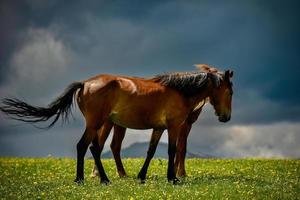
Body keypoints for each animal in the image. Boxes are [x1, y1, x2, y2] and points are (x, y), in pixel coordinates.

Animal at [0, 64, 233, 184]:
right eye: (230, 92)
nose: (226, 117)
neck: (179, 91)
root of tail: (85, 83)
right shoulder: (174, 127)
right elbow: (172, 151)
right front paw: (173, 178)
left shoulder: (159, 128)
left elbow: (150, 151)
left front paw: (141, 177)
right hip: (96, 124)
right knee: (84, 147)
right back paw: (85, 179)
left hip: (99, 125)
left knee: (94, 148)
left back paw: (100, 178)